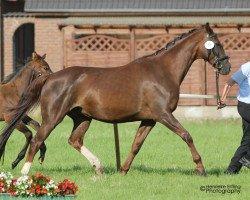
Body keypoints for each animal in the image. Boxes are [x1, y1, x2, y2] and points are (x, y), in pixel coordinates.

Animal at [0, 24, 230, 176]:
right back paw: (24, 173)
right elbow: (186, 135)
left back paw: (99, 167)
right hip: (53, 117)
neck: (162, 71)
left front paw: (123, 170)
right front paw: (200, 168)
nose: (226, 67)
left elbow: (136, 145)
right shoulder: (163, 115)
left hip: (83, 118)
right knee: (37, 140)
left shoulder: (150, 119)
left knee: (74, 140)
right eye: (217, 43)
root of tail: (50, 77)